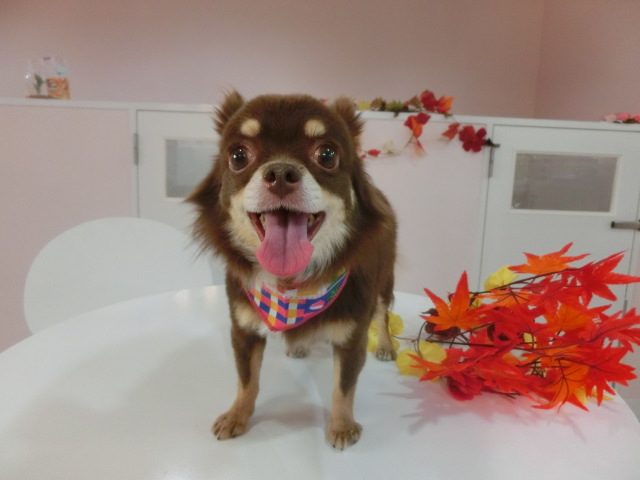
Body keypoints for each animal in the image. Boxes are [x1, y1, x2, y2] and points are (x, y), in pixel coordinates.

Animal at [188, 91, 397, 449]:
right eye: (238, 156)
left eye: (327, 155)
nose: (281, 172)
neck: (293, 287)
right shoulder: (243, 329)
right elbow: (246, 378)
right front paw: (237, 415)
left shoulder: (352, 337)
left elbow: (344, 386)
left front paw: (342, 425)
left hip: (385, 282)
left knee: (383, 314)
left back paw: (384, 345)